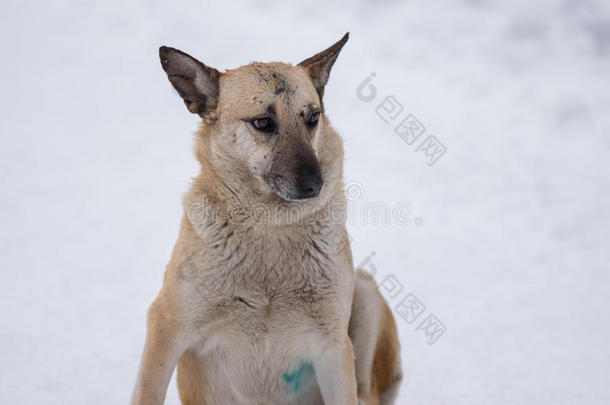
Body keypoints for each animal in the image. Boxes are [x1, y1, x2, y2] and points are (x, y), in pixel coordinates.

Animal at [131, 33, 402, 402]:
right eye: (262, 122)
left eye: (312, 118)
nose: (314, 185)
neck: (270, 226)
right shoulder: (166, 327)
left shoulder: (333, 348)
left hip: (365, 292)